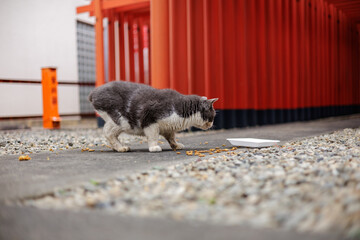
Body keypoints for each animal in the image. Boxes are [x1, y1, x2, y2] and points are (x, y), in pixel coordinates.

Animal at [88, 80, 218, 152]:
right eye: (212, 116)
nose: (212, 124)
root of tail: (94, 92)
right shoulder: (150, 120)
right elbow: (153, 136)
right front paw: (154, 147)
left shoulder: (168, 128)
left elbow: (172, 138)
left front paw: (176, 145)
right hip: (120, 121)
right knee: (107, 132)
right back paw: (121, 148)